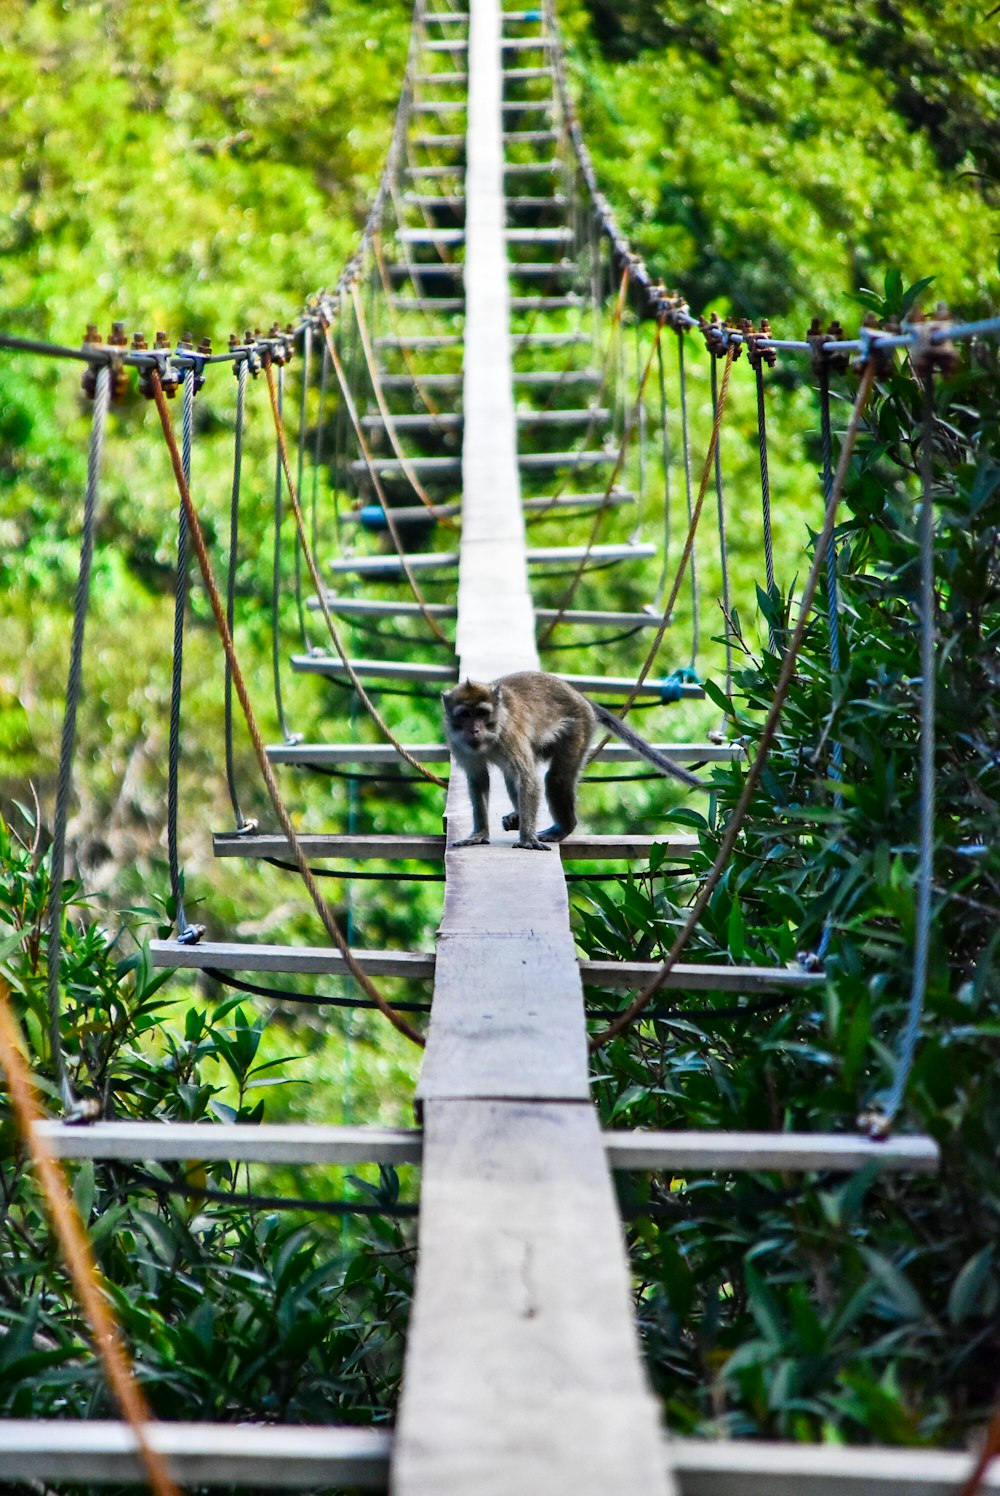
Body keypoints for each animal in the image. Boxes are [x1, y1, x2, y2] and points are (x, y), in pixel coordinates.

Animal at [440, 670, 706, 855]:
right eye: (465, 715)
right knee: (513, 776)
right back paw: (519, 817)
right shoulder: (460, 744)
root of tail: (579, 697)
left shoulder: (510, 735)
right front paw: (478, 834)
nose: (474, 730)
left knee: (555, 780)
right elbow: (479, 780)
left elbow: (528, 778)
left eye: (482, 713)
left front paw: (527, 839)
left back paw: (563, 828)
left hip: (579, 728)